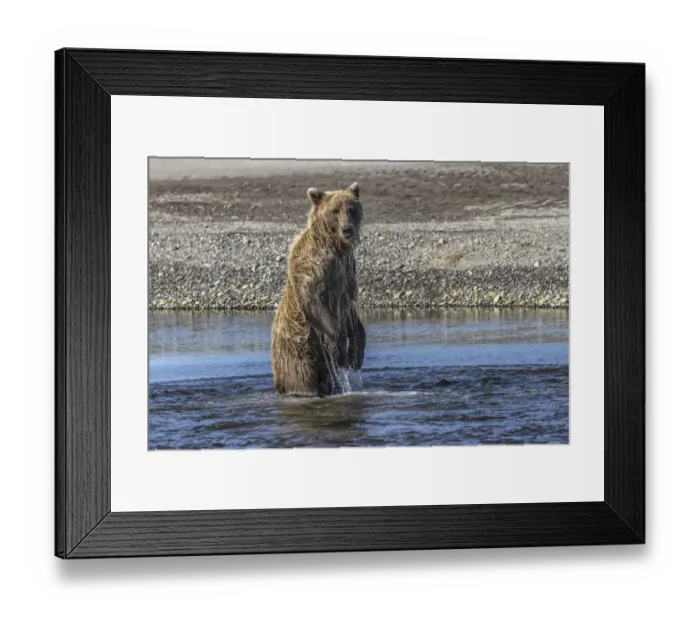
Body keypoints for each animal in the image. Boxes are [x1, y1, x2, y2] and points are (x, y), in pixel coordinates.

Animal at [271, 182, 366, 397]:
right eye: (335, 210)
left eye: (351, 208)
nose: (347, 230)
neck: (335, 247)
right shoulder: (312, 265)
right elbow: (312, 300)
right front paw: (339, 350)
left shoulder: (347, 273)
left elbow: (351, 310)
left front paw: (356, 355)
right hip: (299, 354)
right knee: (302, 380)